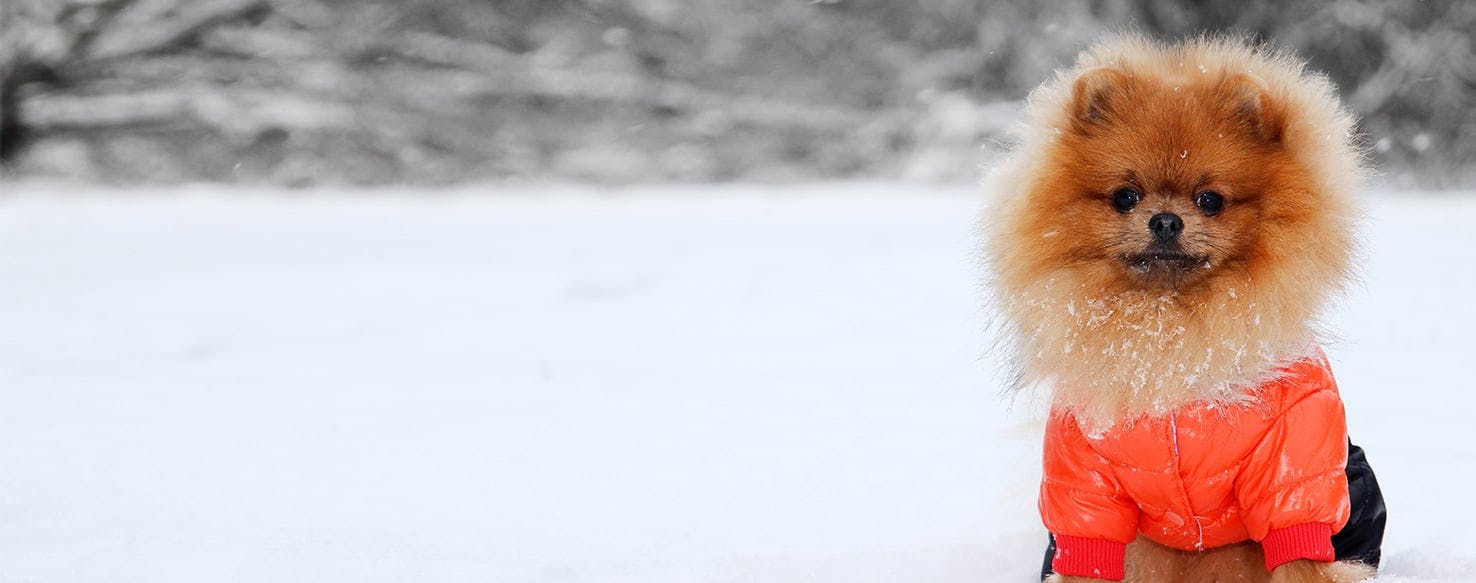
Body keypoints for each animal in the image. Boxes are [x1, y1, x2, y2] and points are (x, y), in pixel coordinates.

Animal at [991, 37, 1381, 583]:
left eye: (1210, 199)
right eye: (1125, 196)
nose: (1165, 220)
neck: (1170, 336)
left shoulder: (1295, 464)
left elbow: (1300, 552)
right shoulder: (1086, 482)